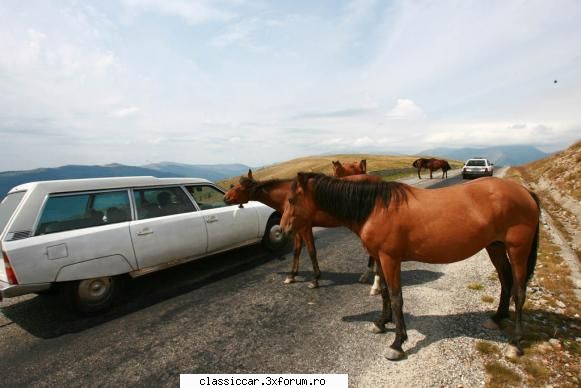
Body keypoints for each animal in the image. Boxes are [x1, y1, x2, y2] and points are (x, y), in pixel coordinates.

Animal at [224, 168, 382, 290]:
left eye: (239, 188)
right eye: (234, 185)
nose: (225, 197)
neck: (287, 195)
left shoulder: (304, 227)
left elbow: (311, 251)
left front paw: (315, 279)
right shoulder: (296, 229)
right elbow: (297, 250)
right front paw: (292, 275)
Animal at [280, 173, 540, 360]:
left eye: (291, 200)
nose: (282, 230)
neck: (375, 207)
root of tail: (525, 192)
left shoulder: (390, 258)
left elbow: (396, 297)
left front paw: (397, 343)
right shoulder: (380, 258)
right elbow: (385, 292)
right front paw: (381, 323)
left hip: (517, 249)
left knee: (519, 291)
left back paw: (516, 343)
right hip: (495, 247)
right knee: (505, 280)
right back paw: (496, 318)